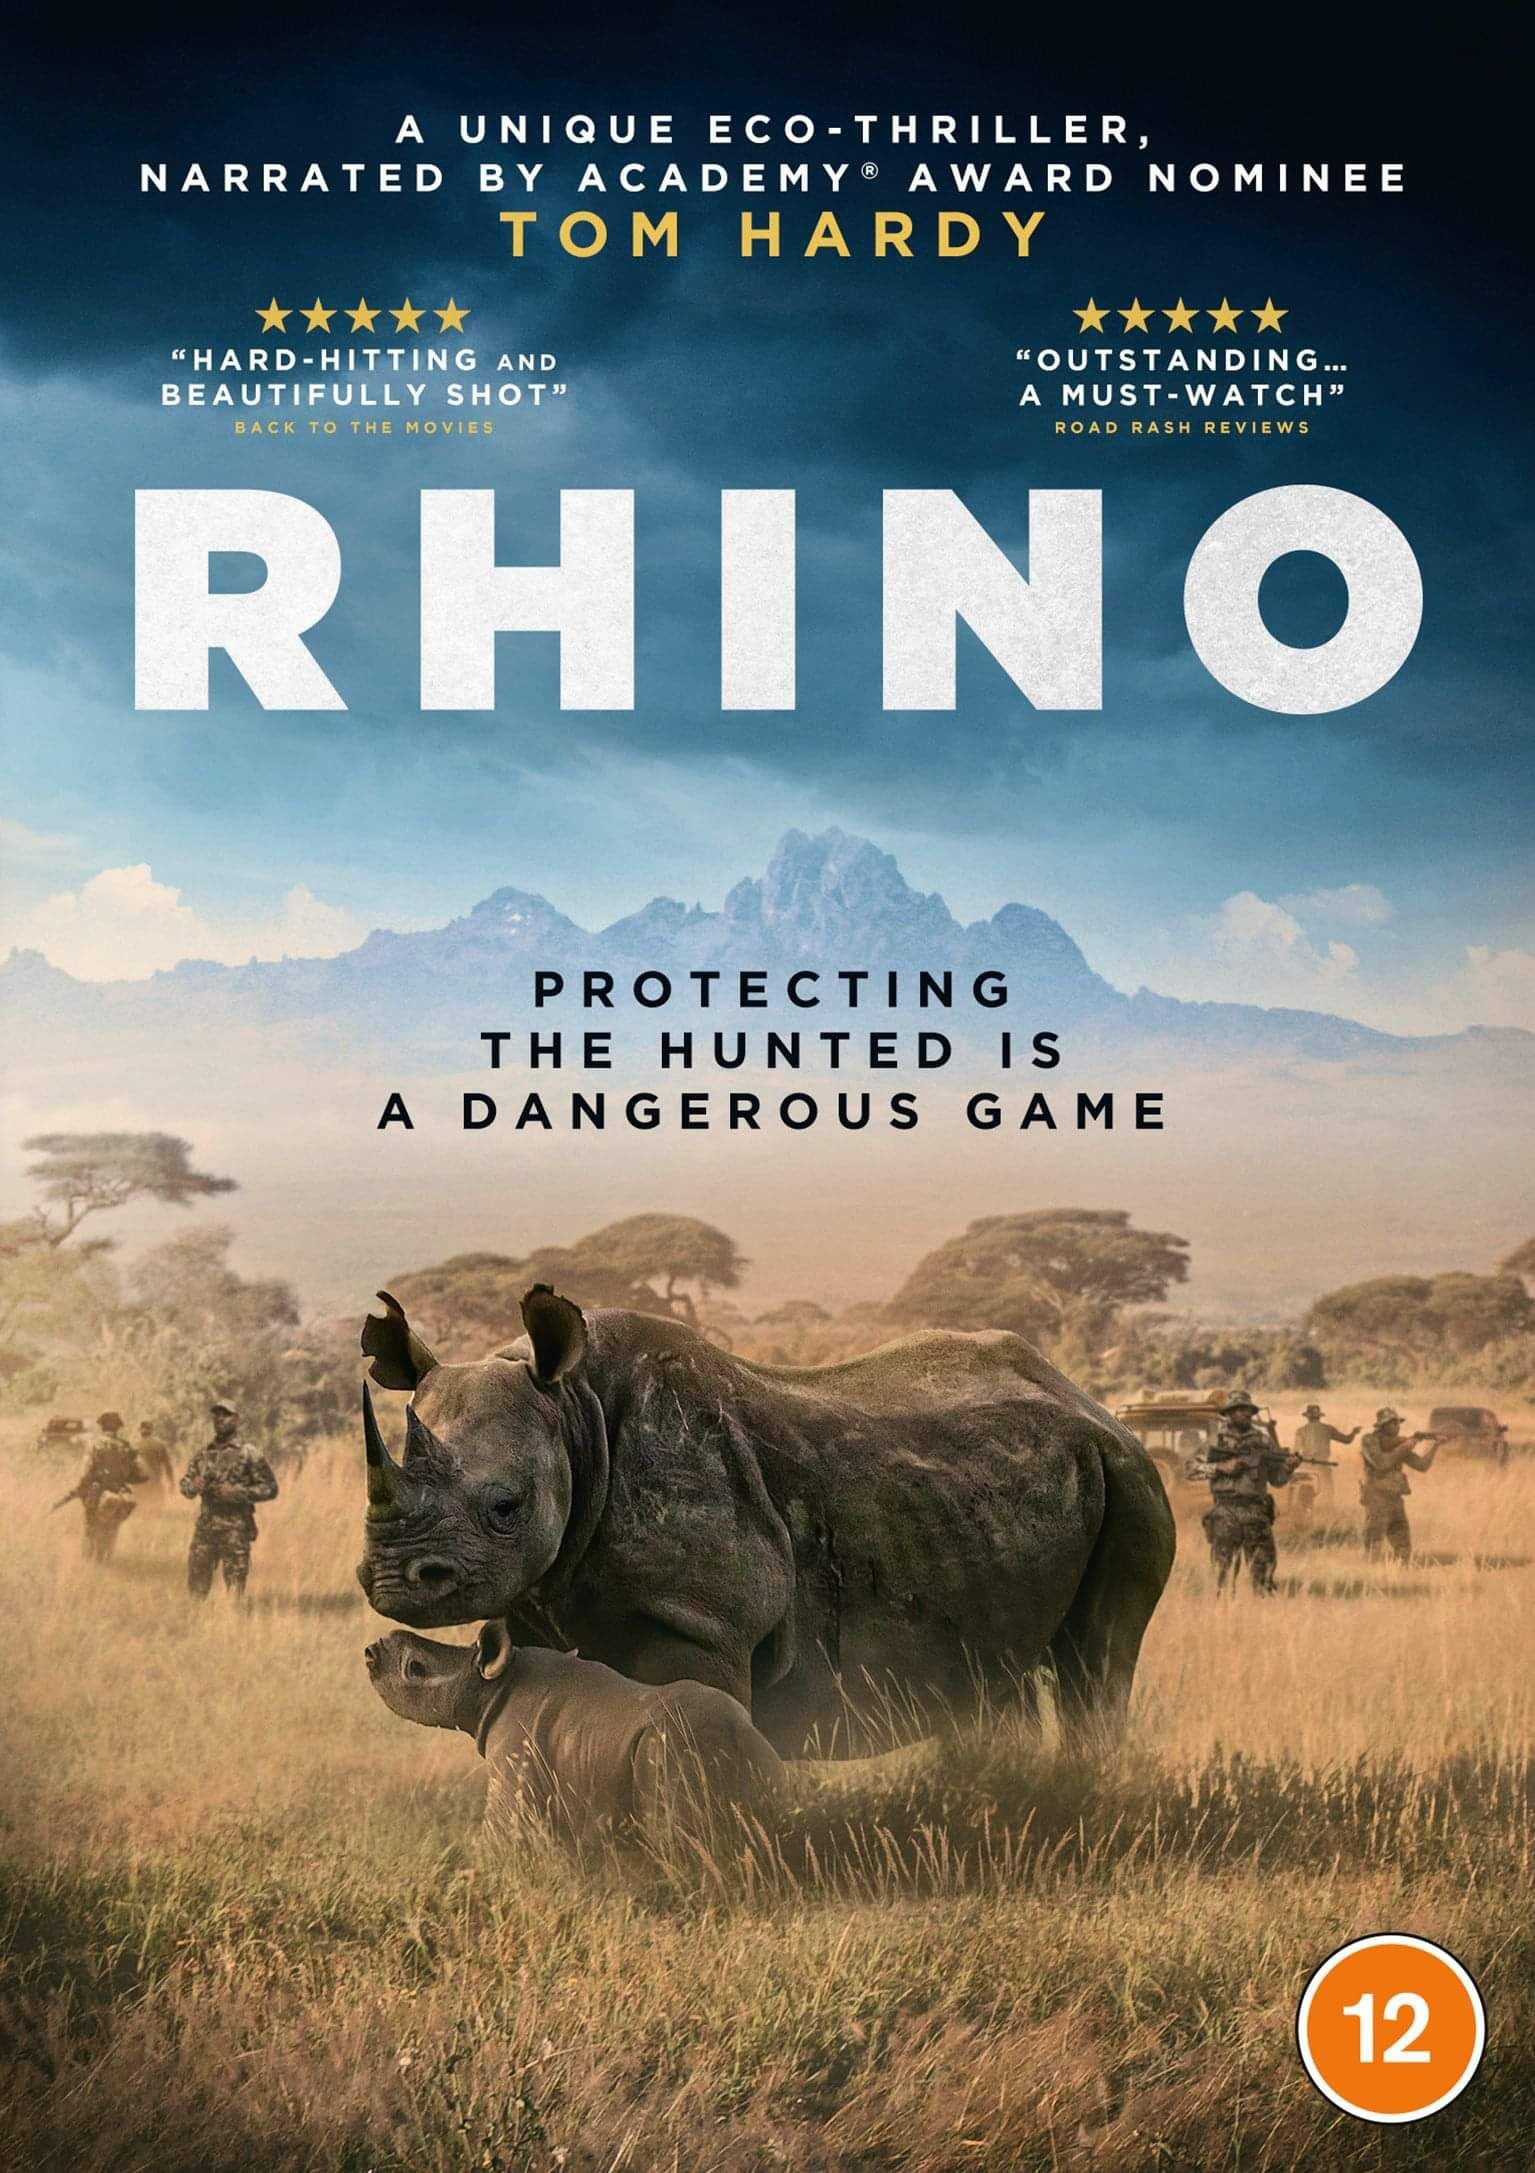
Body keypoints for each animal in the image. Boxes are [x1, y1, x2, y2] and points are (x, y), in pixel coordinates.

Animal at [357, 1286, 1175, 1757]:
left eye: (507, 1508)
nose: (396, 1579)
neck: (571, 1413)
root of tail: (1089, 1402)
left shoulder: (698, 1621)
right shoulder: (540, 1604)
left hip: (1131, 1477)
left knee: (1098, 1659)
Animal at [366, 1622, 784, 1836]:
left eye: (415, 1668)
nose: (371, 1651)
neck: (491, 1686)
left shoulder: (514, 1756)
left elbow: (501, 1833)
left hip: (673, 1750)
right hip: (756, 1756)